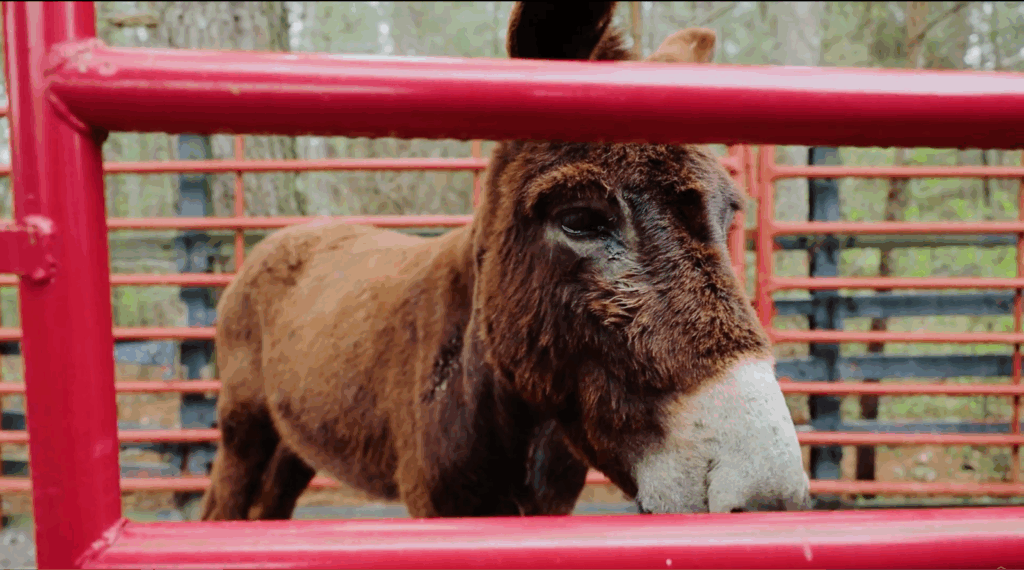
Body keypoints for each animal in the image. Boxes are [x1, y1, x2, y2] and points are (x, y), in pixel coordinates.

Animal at [200, 1, 810, 521]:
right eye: (580, 219)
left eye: (729, 215)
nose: (769, 499)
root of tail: (282, 239)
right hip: (244, 429)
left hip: (294, 443)